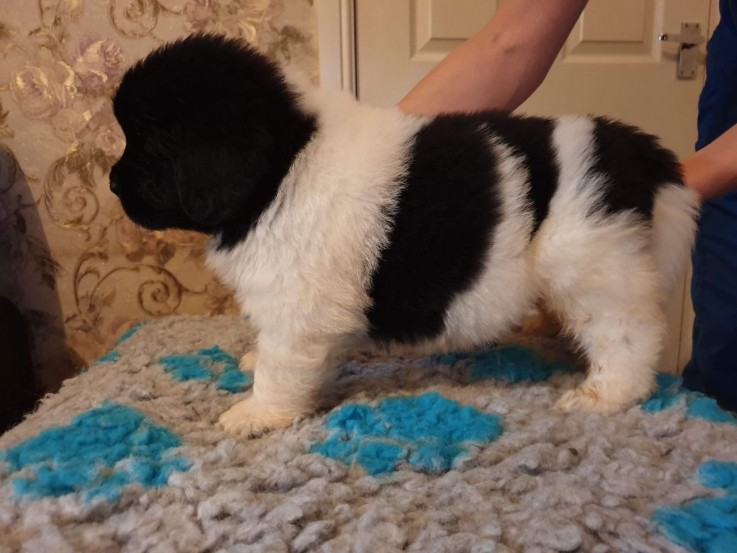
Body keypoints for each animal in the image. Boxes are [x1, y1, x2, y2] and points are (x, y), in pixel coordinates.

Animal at [112, 34, 700, 438]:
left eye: (150, 143)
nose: (113, 182)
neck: (284, 163)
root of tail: (636, 150)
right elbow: (281, 350)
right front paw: (258, 365)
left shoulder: (299, 304)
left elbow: (283, 364)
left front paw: (259, 412)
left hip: (594, 264)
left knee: (629, 336)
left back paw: (605, 395)